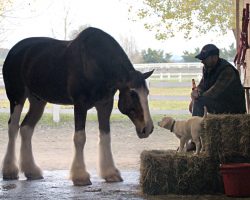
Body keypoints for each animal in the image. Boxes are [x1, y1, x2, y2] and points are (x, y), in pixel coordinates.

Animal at [1, 27, 154, 186]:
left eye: (147, 92)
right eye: (132, 93)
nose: (147, 128)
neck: (95, 62)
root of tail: (14, 51)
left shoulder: (105, 105)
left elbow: (105, 136)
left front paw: (110, 173)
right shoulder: (80, 104)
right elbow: (80, 138)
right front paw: (80, 176)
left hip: (38, 101)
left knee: (26, 129)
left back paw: (31, 171)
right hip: (17, 97)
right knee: (13, 127)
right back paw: (10, 171)